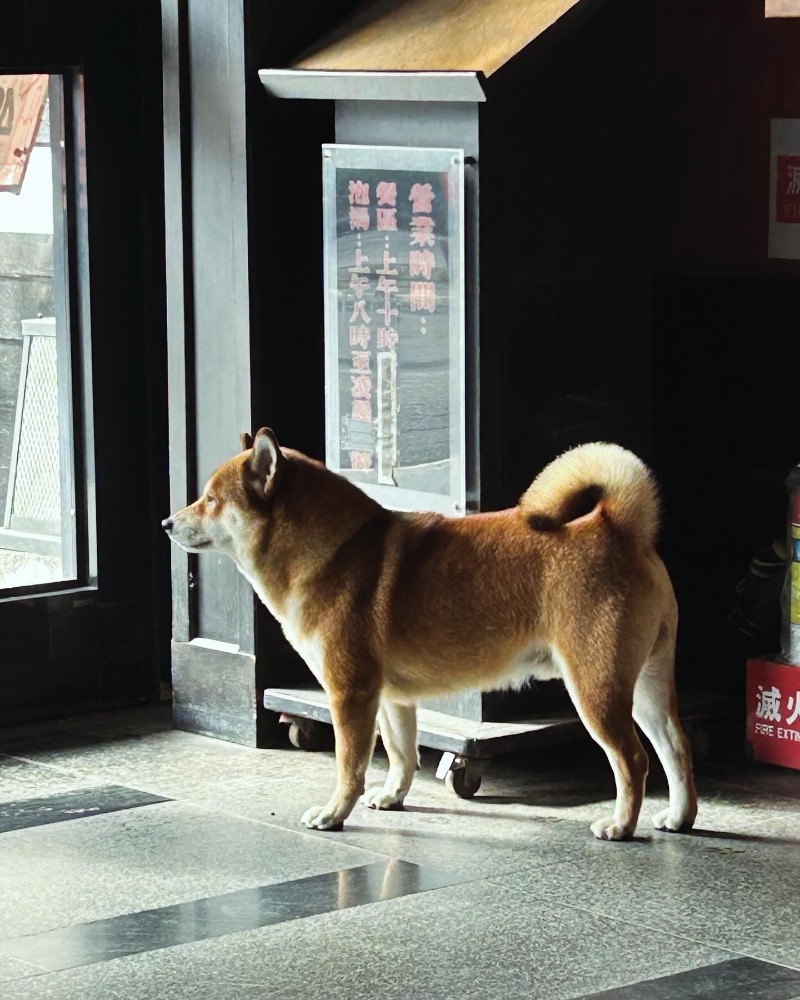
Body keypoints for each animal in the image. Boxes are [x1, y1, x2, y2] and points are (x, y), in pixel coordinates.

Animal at [161, 426, 692, 840]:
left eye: (211, 499)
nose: (166, 522)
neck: (337, 550)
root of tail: (616, 525)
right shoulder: (392, 699)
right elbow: (402, 756)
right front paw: (392, 797)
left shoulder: (350, 694)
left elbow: (349, 766)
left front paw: (334, 814)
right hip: (644, 690)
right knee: (676, 749)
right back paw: (679, 817)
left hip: (596, 692)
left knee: (633, 761)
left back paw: (621, 826)